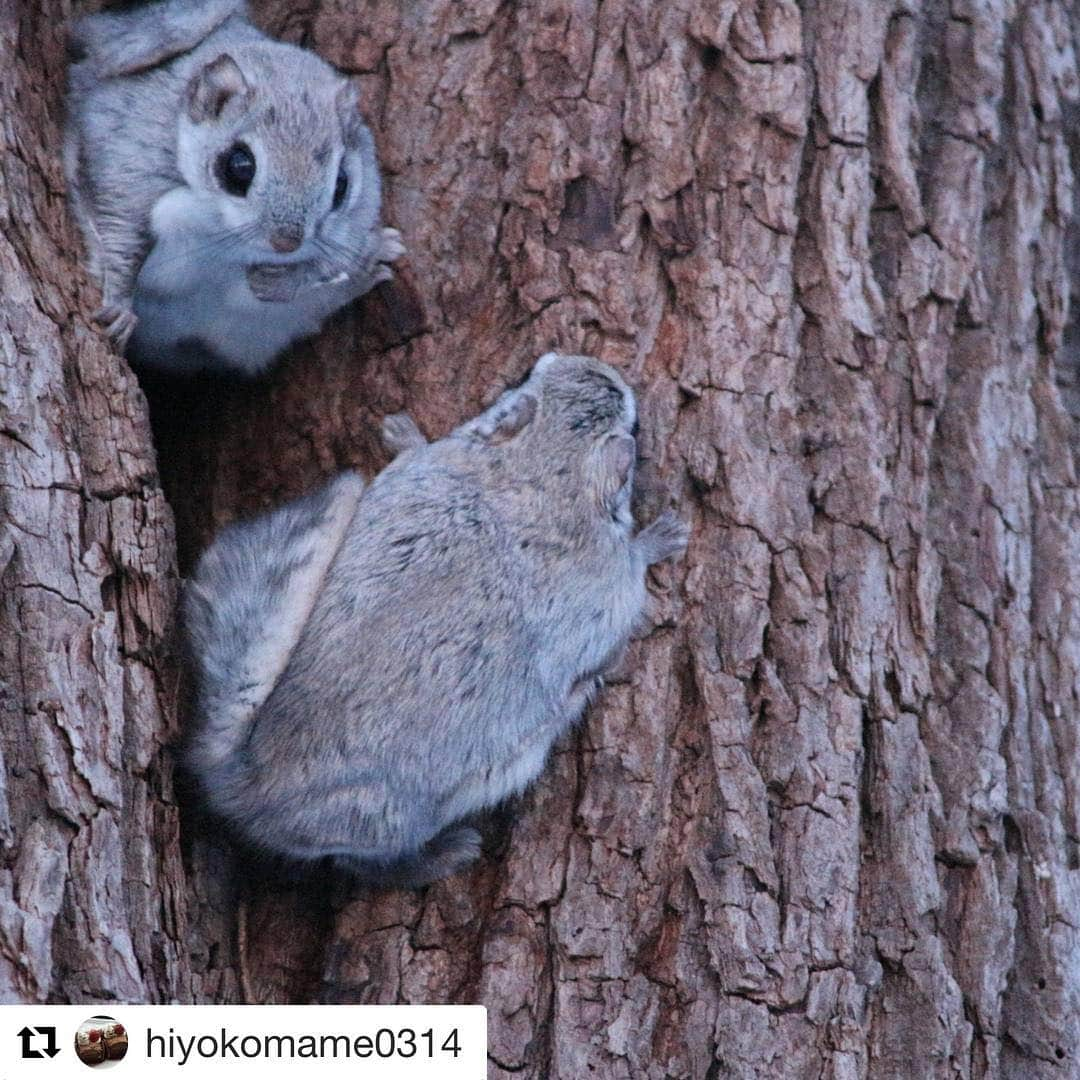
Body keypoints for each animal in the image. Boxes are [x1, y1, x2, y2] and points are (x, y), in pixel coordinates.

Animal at [66, 0, 406, 375]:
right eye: (239, 166)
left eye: (342, 186)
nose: (286, 243)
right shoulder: (128, 158)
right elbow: (119, 230)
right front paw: (119, 305)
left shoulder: (361, 209)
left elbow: (325, 260)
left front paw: (281, 280)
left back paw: (369, 262)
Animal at [183, 354, 691, 885]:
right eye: (634, 425)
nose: (602, 369)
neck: (535, 479)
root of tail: (245, 781)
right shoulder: (607, 596)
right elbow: (621, 604)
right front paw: (661, 538)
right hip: (382, 822)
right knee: (360, 864)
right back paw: (446, 854)